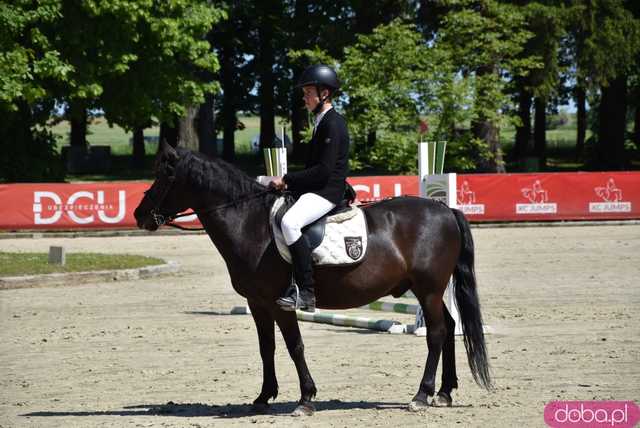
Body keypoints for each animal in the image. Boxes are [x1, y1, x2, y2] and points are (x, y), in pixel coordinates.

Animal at [134, 143, 490, 414]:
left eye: (165, 175)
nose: (139, 215)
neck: (250, 222)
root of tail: (444, 210)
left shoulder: (280, 303)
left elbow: (295, 346)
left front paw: (305, 398)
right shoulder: (258, 303)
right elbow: (267, 347)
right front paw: (263, 397)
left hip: (428, 289)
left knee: (437, 333)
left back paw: (421, 395)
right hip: (429, 291)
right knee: (450, 328)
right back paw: (444, 393)